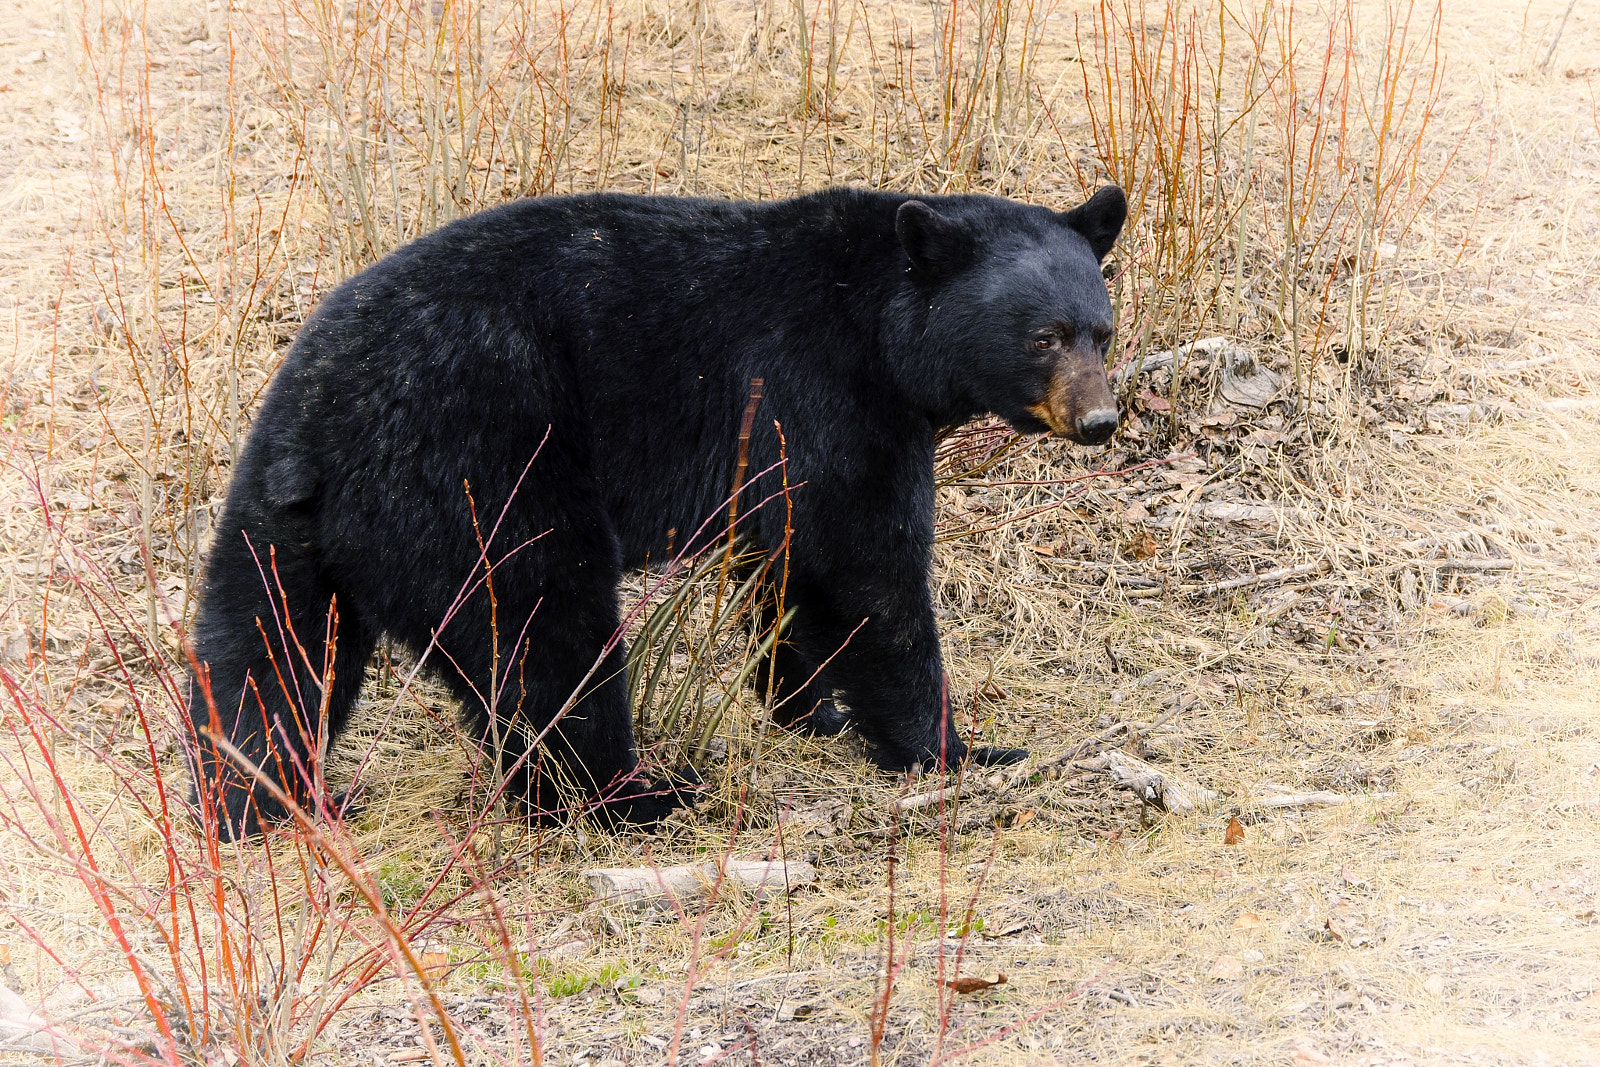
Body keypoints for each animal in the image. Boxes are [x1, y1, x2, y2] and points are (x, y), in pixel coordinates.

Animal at [185, 184, 1126, 840]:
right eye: (1043, 336)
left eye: (1101, 332)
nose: (1100, 420)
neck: (883, 326)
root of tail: (318, 427)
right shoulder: (824, 395)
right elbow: (862, 566)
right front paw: (955, 749)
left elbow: (781, 563)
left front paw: (805, 709)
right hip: (484, 468)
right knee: (546, 637)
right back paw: (634, 797)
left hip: (280, 528)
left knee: (263, 656)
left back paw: (263, 800)